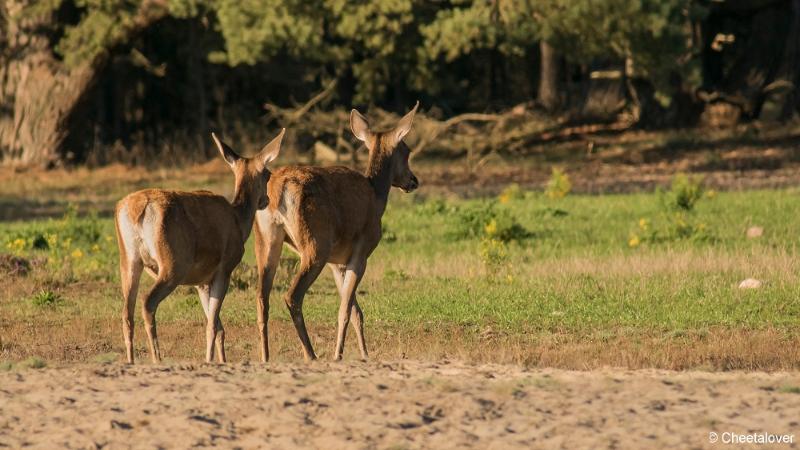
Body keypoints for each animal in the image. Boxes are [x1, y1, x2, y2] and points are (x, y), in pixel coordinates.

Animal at [115, 128, 284, 364]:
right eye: (267, 174)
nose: (265, 200)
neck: (239, 222)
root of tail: (137, 209)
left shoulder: (201, 281)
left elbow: (219, 327)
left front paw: (221, 360)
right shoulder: (224, 269)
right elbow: (212, 325)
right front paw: (209, 359)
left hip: (128, 259)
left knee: (126, 313)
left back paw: (131, 361)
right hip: (173, 263)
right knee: (148, 303)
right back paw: (157, 358)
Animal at [255, 103, 418, 362]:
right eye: (407, 151)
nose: (413, 181)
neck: (377, 196)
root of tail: (279, 189)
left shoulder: (337, 262)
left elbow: (355, 311)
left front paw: (364, 353)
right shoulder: (361, 252)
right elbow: (345, 309)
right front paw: (338, 355)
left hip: (266, 239)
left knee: (262, 297)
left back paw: (265, 356)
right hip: (316, 245)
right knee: (292, 296)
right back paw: (310, 354)